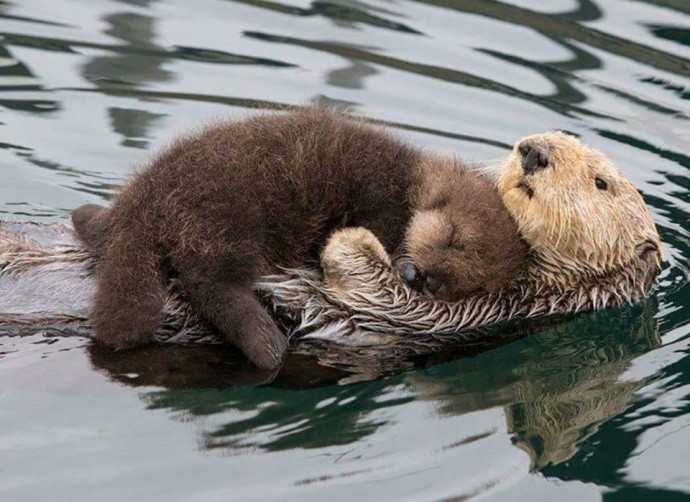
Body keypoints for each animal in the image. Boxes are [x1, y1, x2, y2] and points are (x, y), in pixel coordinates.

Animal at [72, 108, 528, 370]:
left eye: (461, 283)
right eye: (453, 239)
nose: (428, 279)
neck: (411, 181)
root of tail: (144, 202)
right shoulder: (381, 195)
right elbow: (384, 224)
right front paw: (403, 263)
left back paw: (86, 218)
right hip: (227, 216)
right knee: (209, 283)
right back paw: (266, 344)